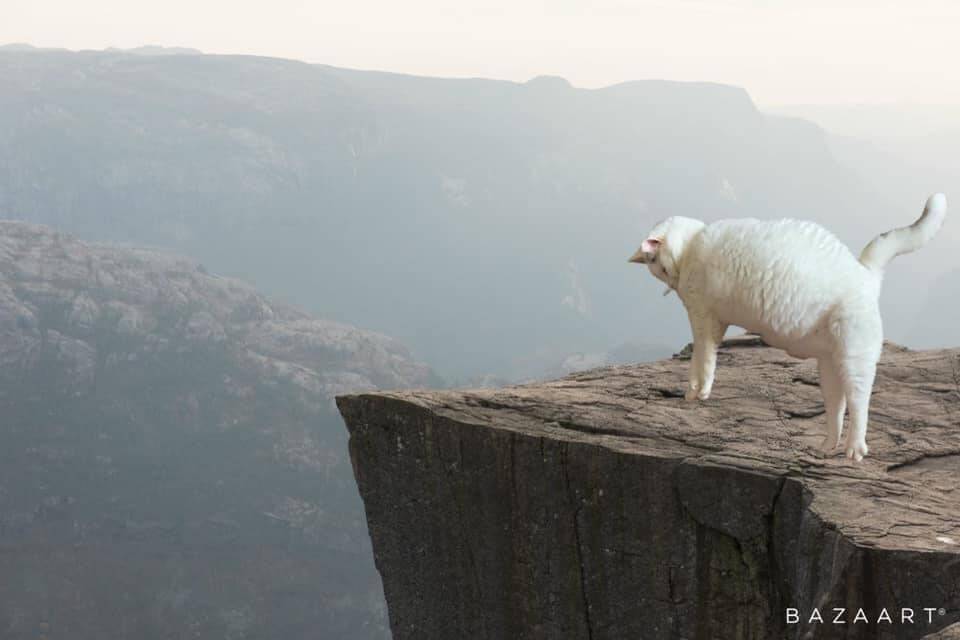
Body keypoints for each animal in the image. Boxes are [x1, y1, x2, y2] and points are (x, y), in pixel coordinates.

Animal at [628, 195, 948, 460]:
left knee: (859, 402)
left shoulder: (704, 319)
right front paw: (693, 391)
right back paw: (828, 445)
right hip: (830, 366)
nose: (668, 279)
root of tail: (866, 275)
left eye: (655, 263)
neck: (691, 245)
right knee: (838, 405)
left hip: (854, 358)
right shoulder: (710, 323)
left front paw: (699, 392)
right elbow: (699, 359)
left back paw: (854, 449)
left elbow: (703, 360)